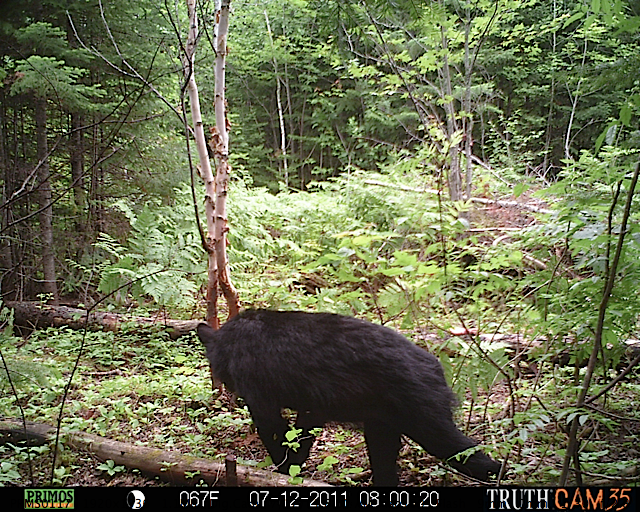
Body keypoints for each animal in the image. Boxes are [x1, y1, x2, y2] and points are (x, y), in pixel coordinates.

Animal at [196, 308, 500, 484]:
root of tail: (438, 369)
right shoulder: (314, 401)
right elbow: (304, 431)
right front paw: (295, 466)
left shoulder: (258, 387)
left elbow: (273, 430)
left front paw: (283, 469)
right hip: (383, 419)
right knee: (384, 458)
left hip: (421, 409)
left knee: (462, 451)